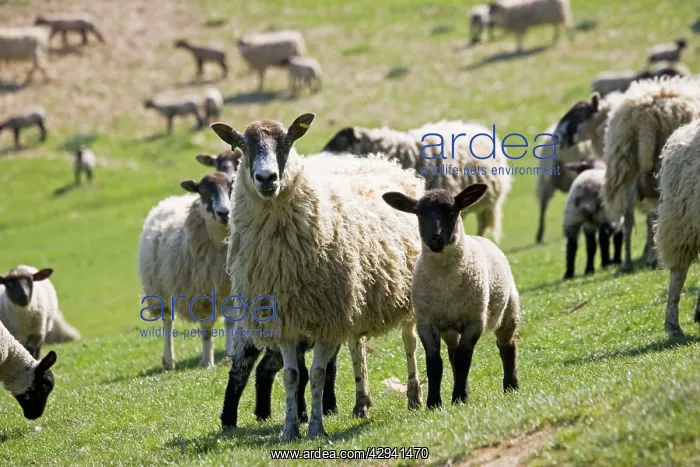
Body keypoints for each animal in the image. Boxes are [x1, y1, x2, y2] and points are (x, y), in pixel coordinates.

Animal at [138, 172, 233, 370]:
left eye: (231, 185)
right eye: (203, 190)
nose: (224, 213)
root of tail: (169, 200)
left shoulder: (230, 288)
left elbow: (230, 322)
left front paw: (230, 355)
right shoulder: (202, 296)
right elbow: (206, 330)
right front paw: (207, 362)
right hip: (159, 292)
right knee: (167, 322)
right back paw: (168, 361)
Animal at [211, 112, 425, 440]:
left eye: (287, 141)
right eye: (242, 146)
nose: (267, 178)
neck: (283, 260)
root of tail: (378, 161)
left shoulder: (326, 319)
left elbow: (317, 373)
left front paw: (314, 428)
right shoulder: (285, 319)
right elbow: (291, 375)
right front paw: (289, 429)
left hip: (404, 295)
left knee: (409, 343)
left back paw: (414, 396)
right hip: (354, 297)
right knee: (357, 347)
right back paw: (361, 403)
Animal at [382, 184, 520, 409]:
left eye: (452, 211)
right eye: (419, 213)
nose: (435, 238)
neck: (446, 285)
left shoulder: (475, 320)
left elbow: (464, 358)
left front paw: (459, 397)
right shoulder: (426, 323)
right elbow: (435, 362)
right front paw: (434, 403)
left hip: (509, 311)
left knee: (507, 346)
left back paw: (510, 385)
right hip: (450, 327)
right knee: (452, 353)